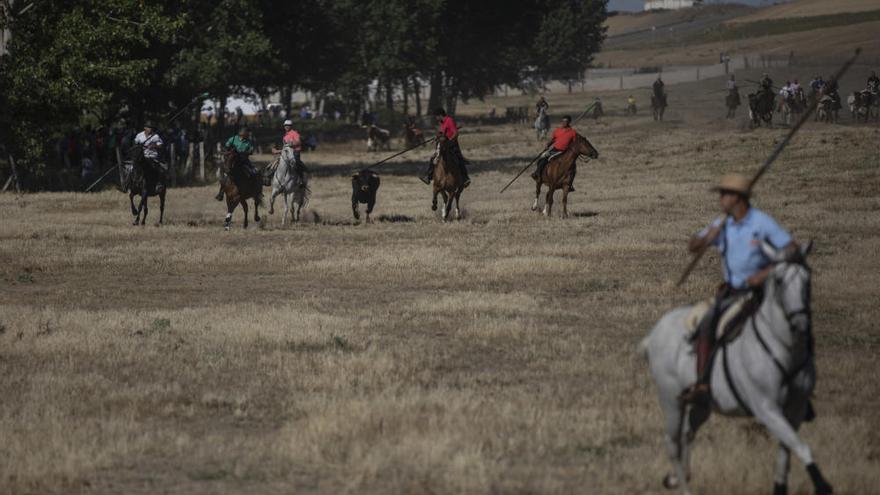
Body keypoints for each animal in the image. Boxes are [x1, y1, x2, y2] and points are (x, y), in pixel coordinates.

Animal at [640, 242, 832, 495]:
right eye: (779, 281)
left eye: (808, 280)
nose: (801, 324)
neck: (784, 349)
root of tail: (654, 334)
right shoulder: (766, 408)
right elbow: (800, 448)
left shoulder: (795, 409)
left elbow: (787, 454)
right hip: (671, 399)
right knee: (672, 443)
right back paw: (682, 485)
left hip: (701, 404)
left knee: (687, 433)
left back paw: (677, 477)